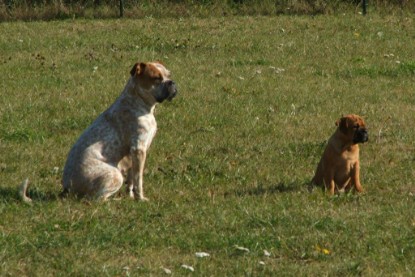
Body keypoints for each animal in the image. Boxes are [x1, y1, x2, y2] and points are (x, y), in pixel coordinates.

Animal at [21, 61, 177, 201]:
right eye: (156, 78)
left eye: (168, 75)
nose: (172, 83)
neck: (137, 101)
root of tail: (66, 190)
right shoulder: (138, 149)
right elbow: (138, 180)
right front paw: (141, 199)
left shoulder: (134, 155)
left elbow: (132, 180)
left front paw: (131, 197)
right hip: (115, 175)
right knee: (97, 199)